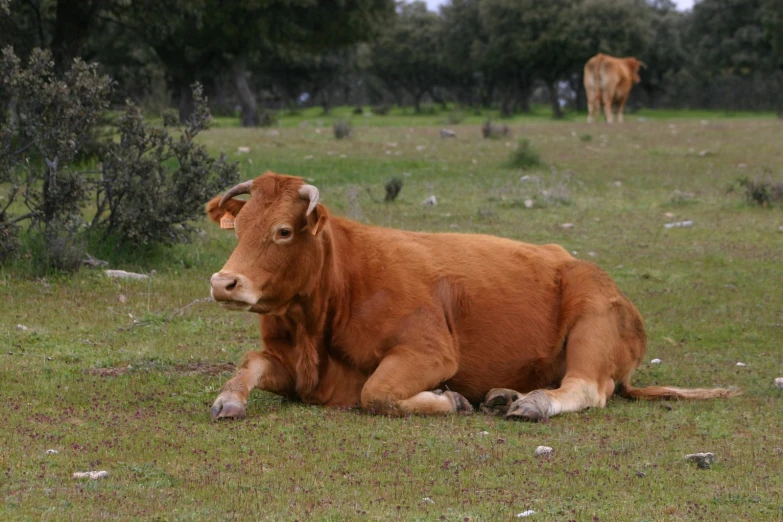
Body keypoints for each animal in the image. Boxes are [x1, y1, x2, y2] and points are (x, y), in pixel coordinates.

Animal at [205, 173, 740, 420]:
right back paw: (505, 394)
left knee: (587, 387)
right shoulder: (291, 363)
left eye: (283, 231)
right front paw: (228, 398)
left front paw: (451, 399)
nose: (223, 282)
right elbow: (249, 362)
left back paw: (531, 403)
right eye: (240, 228)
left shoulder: (429, 351)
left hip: (593, 321)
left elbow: (376, 392)